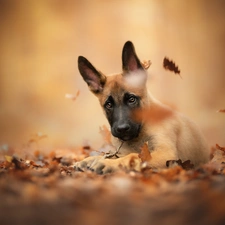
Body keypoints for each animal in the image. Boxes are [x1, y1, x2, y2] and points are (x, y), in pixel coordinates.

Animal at [75, 40, 209, 174]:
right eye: (108, 105)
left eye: (131, 99)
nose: (122, 129)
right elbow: (110, 154)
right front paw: (89, 160)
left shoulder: (166, 154)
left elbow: (134, 156)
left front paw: (108, 163)